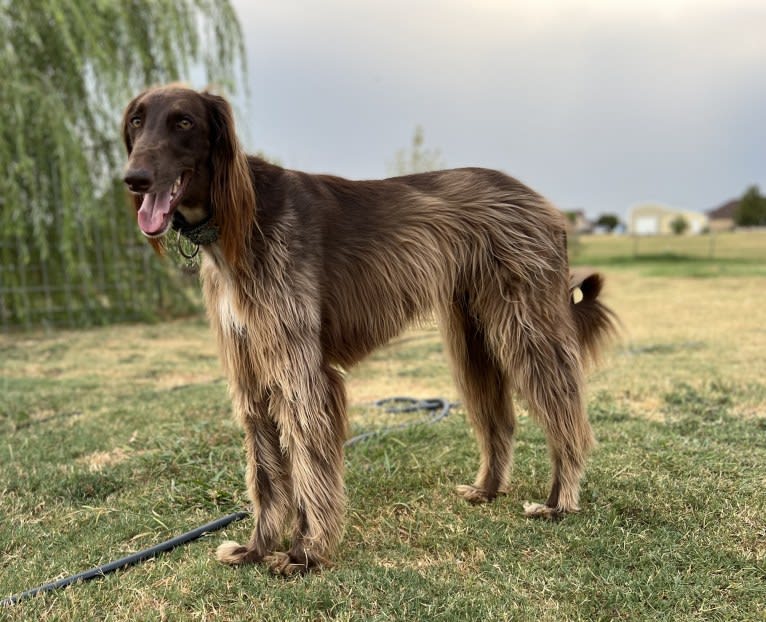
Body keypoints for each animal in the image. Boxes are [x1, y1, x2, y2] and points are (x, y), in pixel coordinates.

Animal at [123, 85, 620, 576]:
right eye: (136, 121)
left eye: (184, 121)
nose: (134, 178)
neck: (239, 220)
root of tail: (543, 204)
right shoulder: (250, 367)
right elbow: (265, 469)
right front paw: (256, 549)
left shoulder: (300, 368)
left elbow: (308, 460)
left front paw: (305, 552)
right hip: (473, 335)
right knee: (498, 418)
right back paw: (488, 489)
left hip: (526, 325)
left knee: (566, 414)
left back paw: (558, 502)